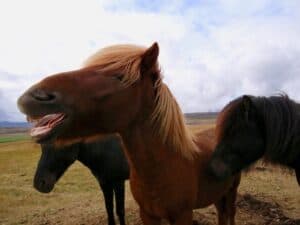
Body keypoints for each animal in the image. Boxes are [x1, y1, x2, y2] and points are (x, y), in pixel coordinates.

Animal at [17, 43, 240, 224]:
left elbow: (119, 210)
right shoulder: (138, 207)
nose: (34, 96)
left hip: (231, 191)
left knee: (230, 214)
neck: (166, 164)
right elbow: (110, 210)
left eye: (120, 76)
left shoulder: (180, 214)